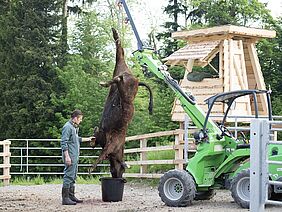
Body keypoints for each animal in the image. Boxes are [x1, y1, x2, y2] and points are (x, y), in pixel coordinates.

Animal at [90, 27, 152, 178]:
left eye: (118, 171)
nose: (117, 175)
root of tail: (134, 78)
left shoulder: (111, 144)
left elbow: (102, 153)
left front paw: (91, 168)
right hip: (122, 78)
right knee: (120, 56)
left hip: (123, 83)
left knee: (119, 59)